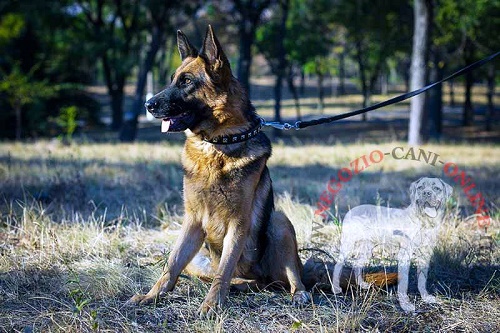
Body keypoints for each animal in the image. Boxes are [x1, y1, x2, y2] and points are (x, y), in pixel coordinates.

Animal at [127, 25, 310, 314]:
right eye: (172, 80)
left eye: (186, 81)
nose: (148, 105)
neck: (216, 145)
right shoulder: (191, 221)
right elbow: (171, 266)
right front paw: (151, 295)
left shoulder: (238, 223)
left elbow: (224, 269)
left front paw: (212, 304)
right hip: (200, 258)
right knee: (223, 275)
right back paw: (238, 287)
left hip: (279, 222)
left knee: (291, 276)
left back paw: (297, 293)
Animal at [332, 178, 454, 310]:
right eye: (420, 187)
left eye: (436, 188)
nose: (426, 193)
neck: (424, 222)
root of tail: (351, 210)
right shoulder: (405, 256)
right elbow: (404, 282)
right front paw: (406, 305)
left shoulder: (425, 256)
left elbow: (422, 280)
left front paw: (426, 298)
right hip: (348, 245)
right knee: (338, 265)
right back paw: (336, 288)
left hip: (367, 249)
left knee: (357, 264)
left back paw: (362, 285)